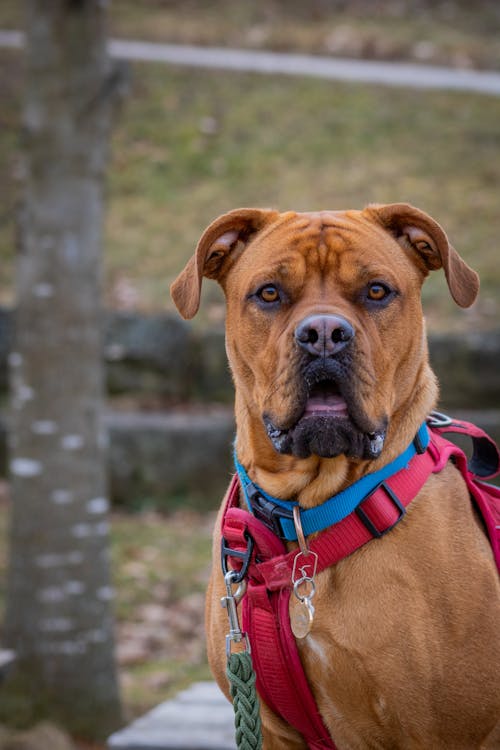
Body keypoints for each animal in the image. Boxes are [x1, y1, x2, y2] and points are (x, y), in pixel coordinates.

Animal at [170, 203, 498, 748]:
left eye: (377, 291)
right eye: (269, 293)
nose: (324, 333)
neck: (301, 520)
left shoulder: (443, 732)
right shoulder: (271, 729)